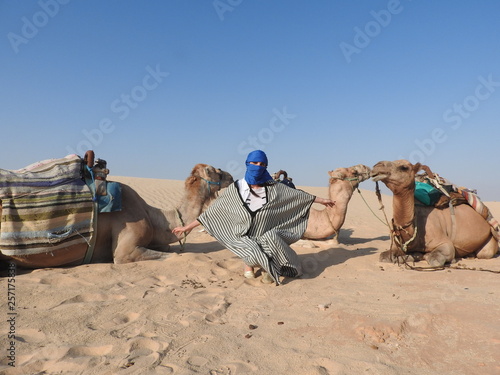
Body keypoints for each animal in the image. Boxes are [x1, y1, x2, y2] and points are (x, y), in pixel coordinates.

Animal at [370, 159, 498, 268]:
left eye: (404, 167)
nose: (377, 165)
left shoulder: (445, 243)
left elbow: (434, 259)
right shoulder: (398, 246)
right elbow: (384, 256)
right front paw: (413, 255)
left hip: (489, 244)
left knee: (484, 253)